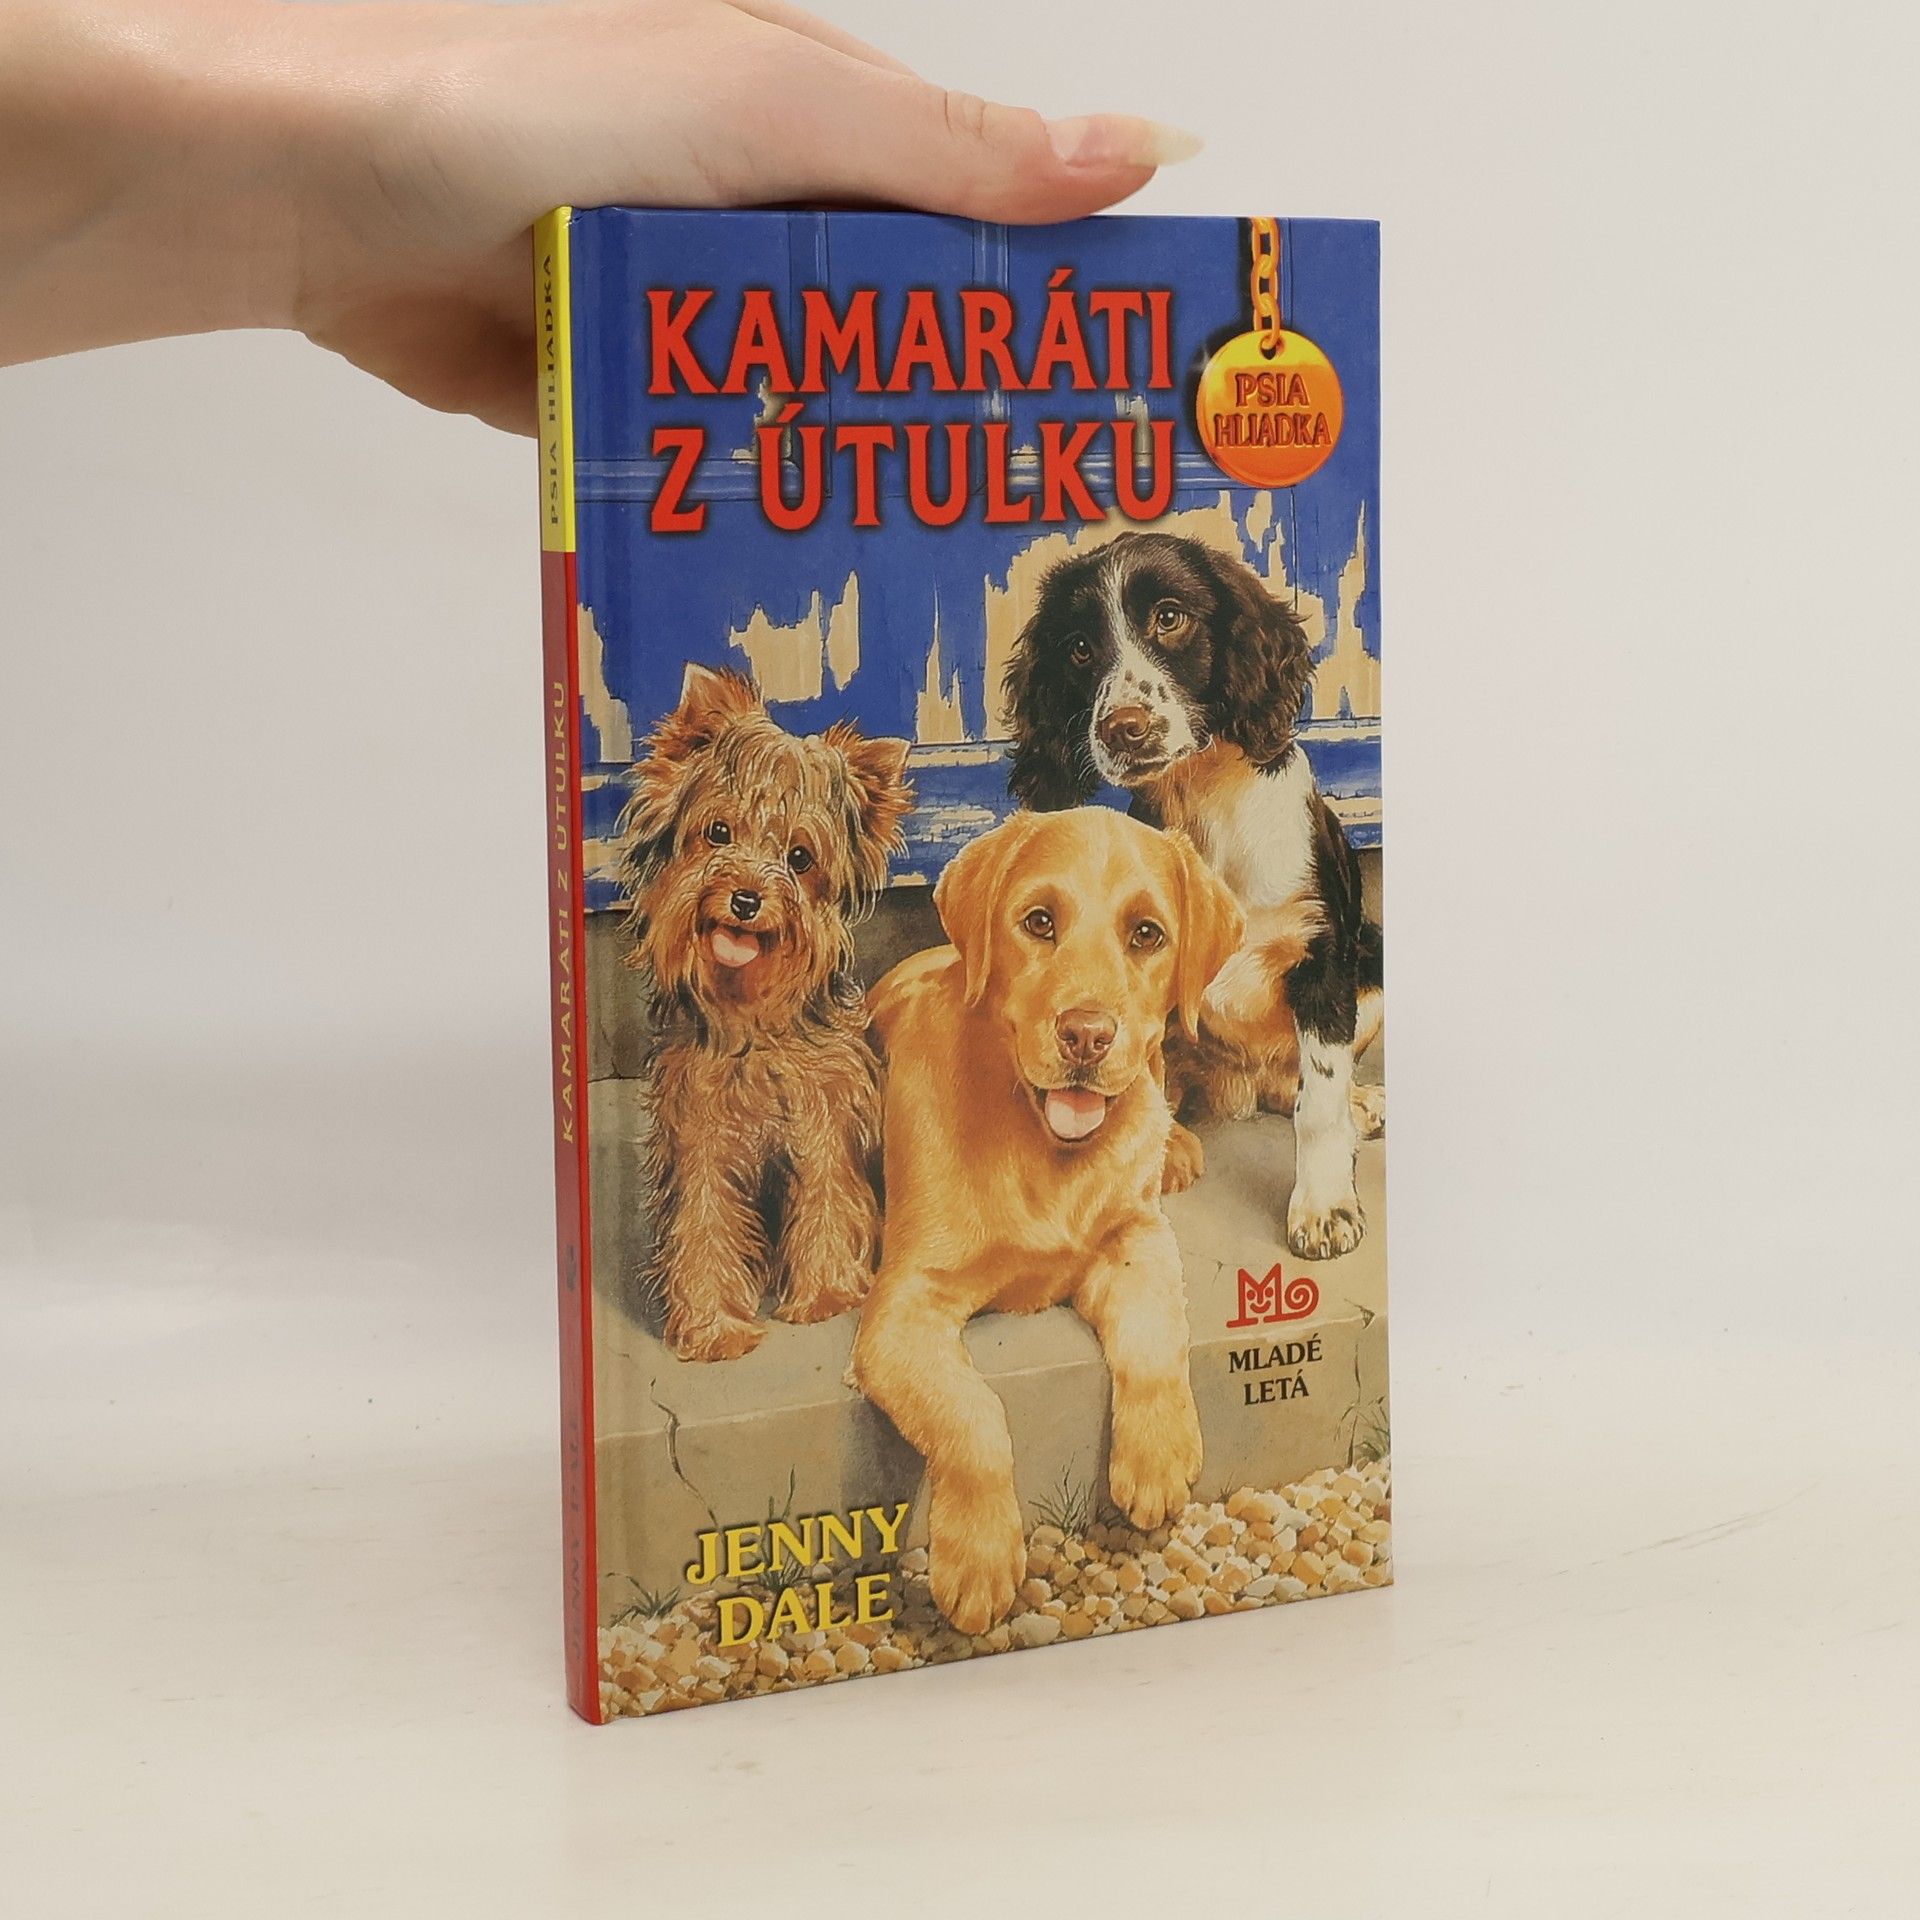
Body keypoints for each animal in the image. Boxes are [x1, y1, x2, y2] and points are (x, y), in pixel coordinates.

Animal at [618, 664, 913, 1361]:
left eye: (800, 859)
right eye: (719, 833)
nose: (747, 898)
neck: (749, 1016)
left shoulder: (826, 1115)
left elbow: (830, 1193)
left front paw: (826, 1295)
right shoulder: (697, 1125)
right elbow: (703, 1219)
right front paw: (712, 1328)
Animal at [852, 806, 1244, 1632]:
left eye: (1146, 934)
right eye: (1038, 922)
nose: (1087, 1034)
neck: (1045, 1147)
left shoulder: (1137, 1237)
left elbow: (1155, 1332)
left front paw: (1157, 1456)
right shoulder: (902, 1306)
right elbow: (971, 1411)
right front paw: (978, 1557)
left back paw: (1176, 1147)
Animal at [1002, 530, 1385, 1261]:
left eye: (1170, 617)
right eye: (1079, 648)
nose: (1122, 728)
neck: (1206, 799)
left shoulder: (1324, 957)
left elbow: (1318, 1103)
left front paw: (1325, 1207)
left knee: (1296, 1084)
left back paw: (1359, 1105)